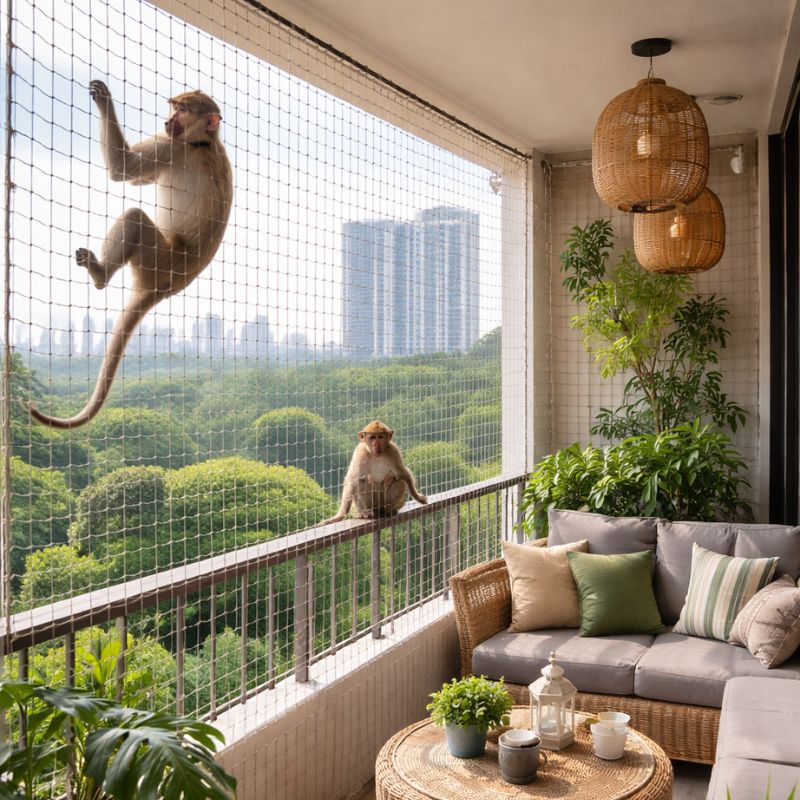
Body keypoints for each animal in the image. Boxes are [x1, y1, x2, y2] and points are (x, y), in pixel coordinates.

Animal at [29, 80, 233, 428]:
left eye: (183, 110)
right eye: (174, 107)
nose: (168, 120)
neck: (204, 142)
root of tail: (166, 286)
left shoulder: (172, 147)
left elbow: (124, 170)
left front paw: (104, 99)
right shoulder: (173, 141)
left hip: (159, 259)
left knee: (135, 218)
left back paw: (100, 274)